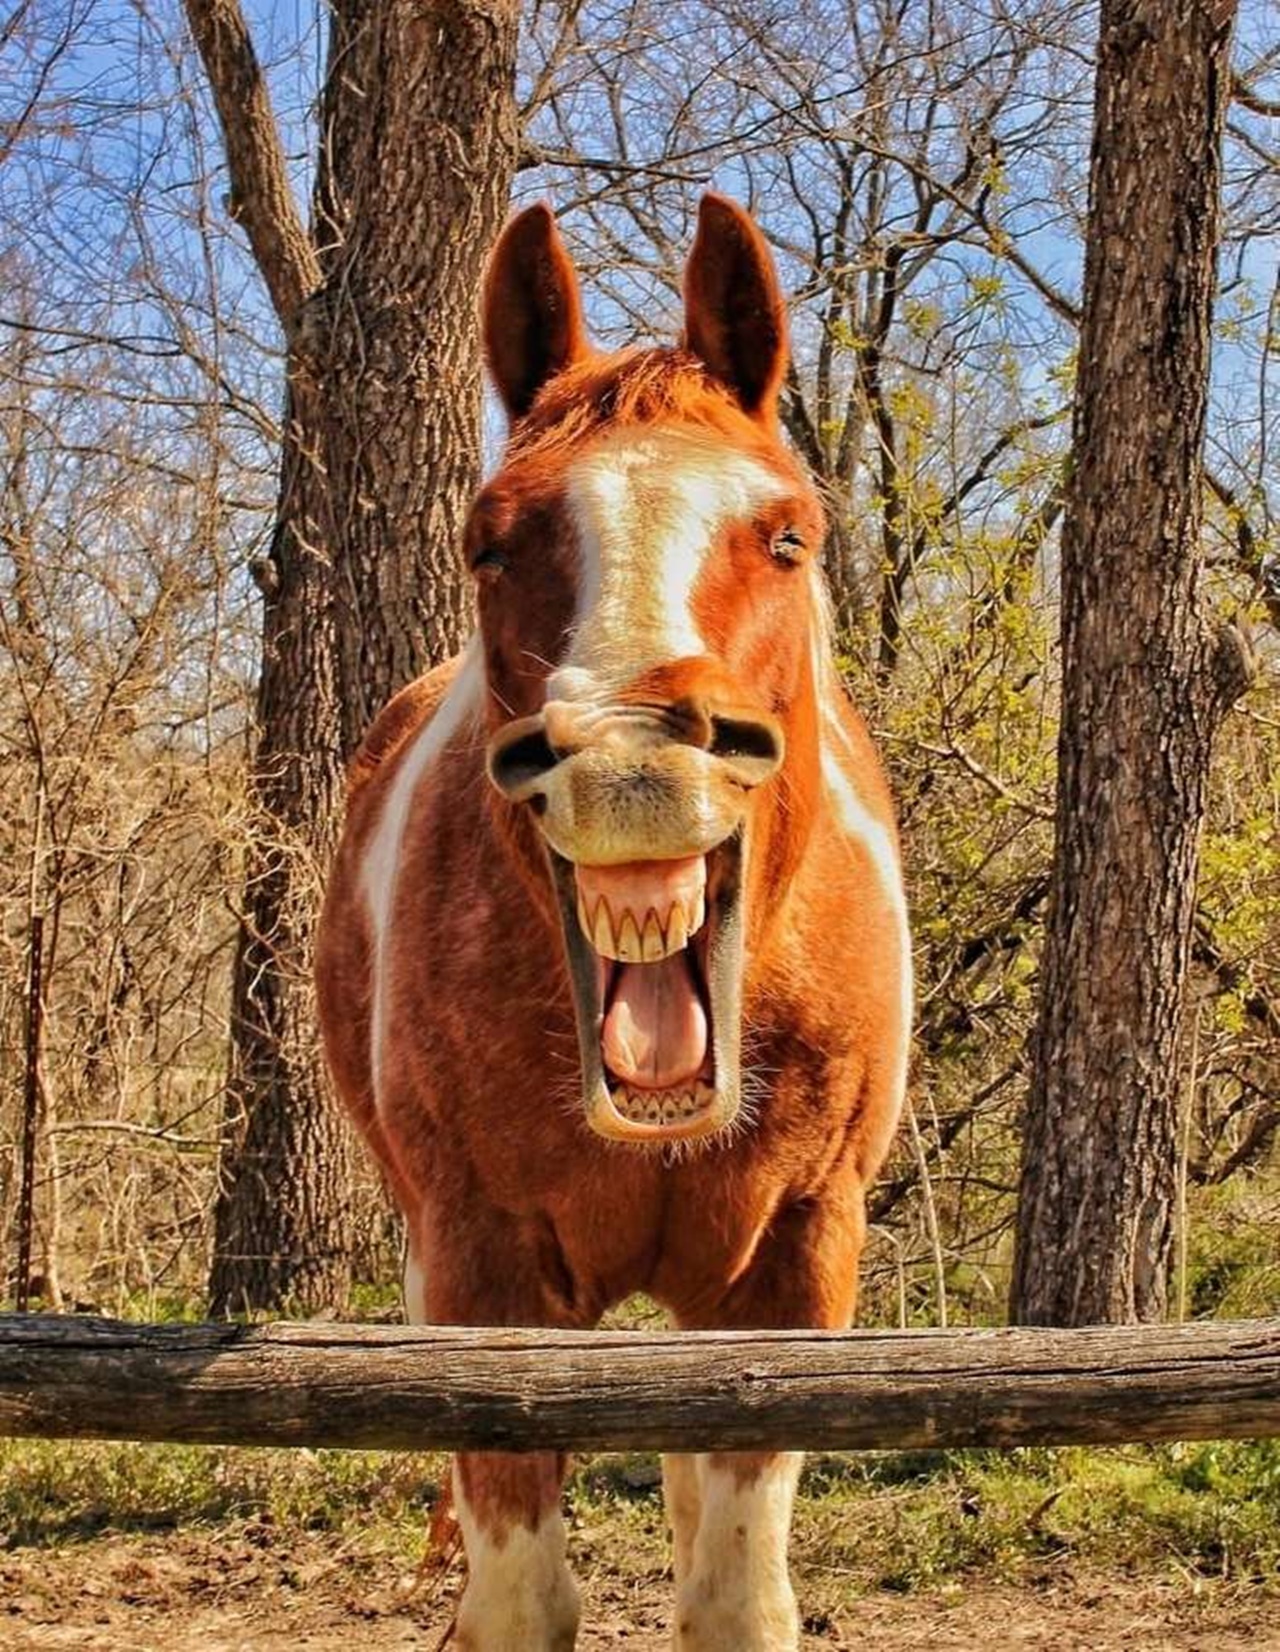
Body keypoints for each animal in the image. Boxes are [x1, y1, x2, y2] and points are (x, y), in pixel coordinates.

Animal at [320, 196, 918, 1652]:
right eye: (489, 539)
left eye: (787, 534)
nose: (630, 758)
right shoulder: (479, 1278)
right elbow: (519, 1599)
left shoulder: (791, 1271)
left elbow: (734, 1593)